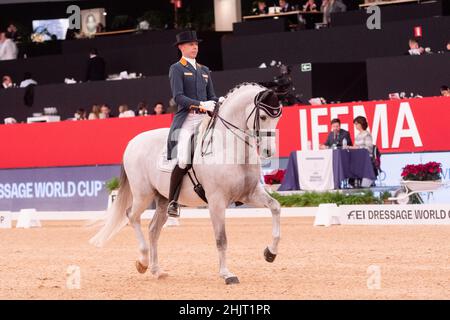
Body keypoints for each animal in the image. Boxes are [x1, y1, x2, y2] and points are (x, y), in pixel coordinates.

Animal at [89, 82, 284, 284]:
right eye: (263, 117)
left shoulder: (250, 193)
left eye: (278, 117)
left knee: (153, 229)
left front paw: (270, 253)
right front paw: (226, 274)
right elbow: (221, 239)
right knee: (132, 216)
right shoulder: (216, 201)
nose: (269, 151)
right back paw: (142, 261)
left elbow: (275, 207)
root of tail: (132, 142)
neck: (229, 149)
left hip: (163, 199)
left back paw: (157, 270)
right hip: (143, 194)